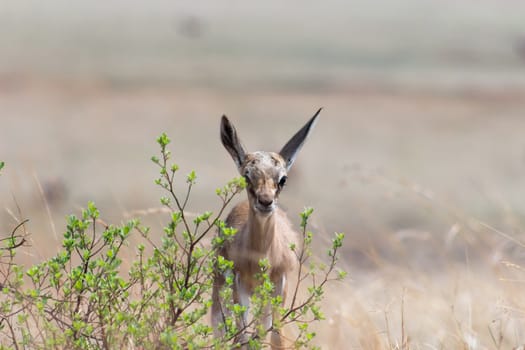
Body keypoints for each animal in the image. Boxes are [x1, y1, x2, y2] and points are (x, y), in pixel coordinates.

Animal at [212, 108, 320, 348]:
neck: (261, 256)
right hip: (222, 288)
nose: (265, 201)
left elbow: (275, 335)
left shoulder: (279, 283)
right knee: (220, 328)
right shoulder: (239, 284)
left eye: (282, 179)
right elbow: (243, 336)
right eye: (247, 175)